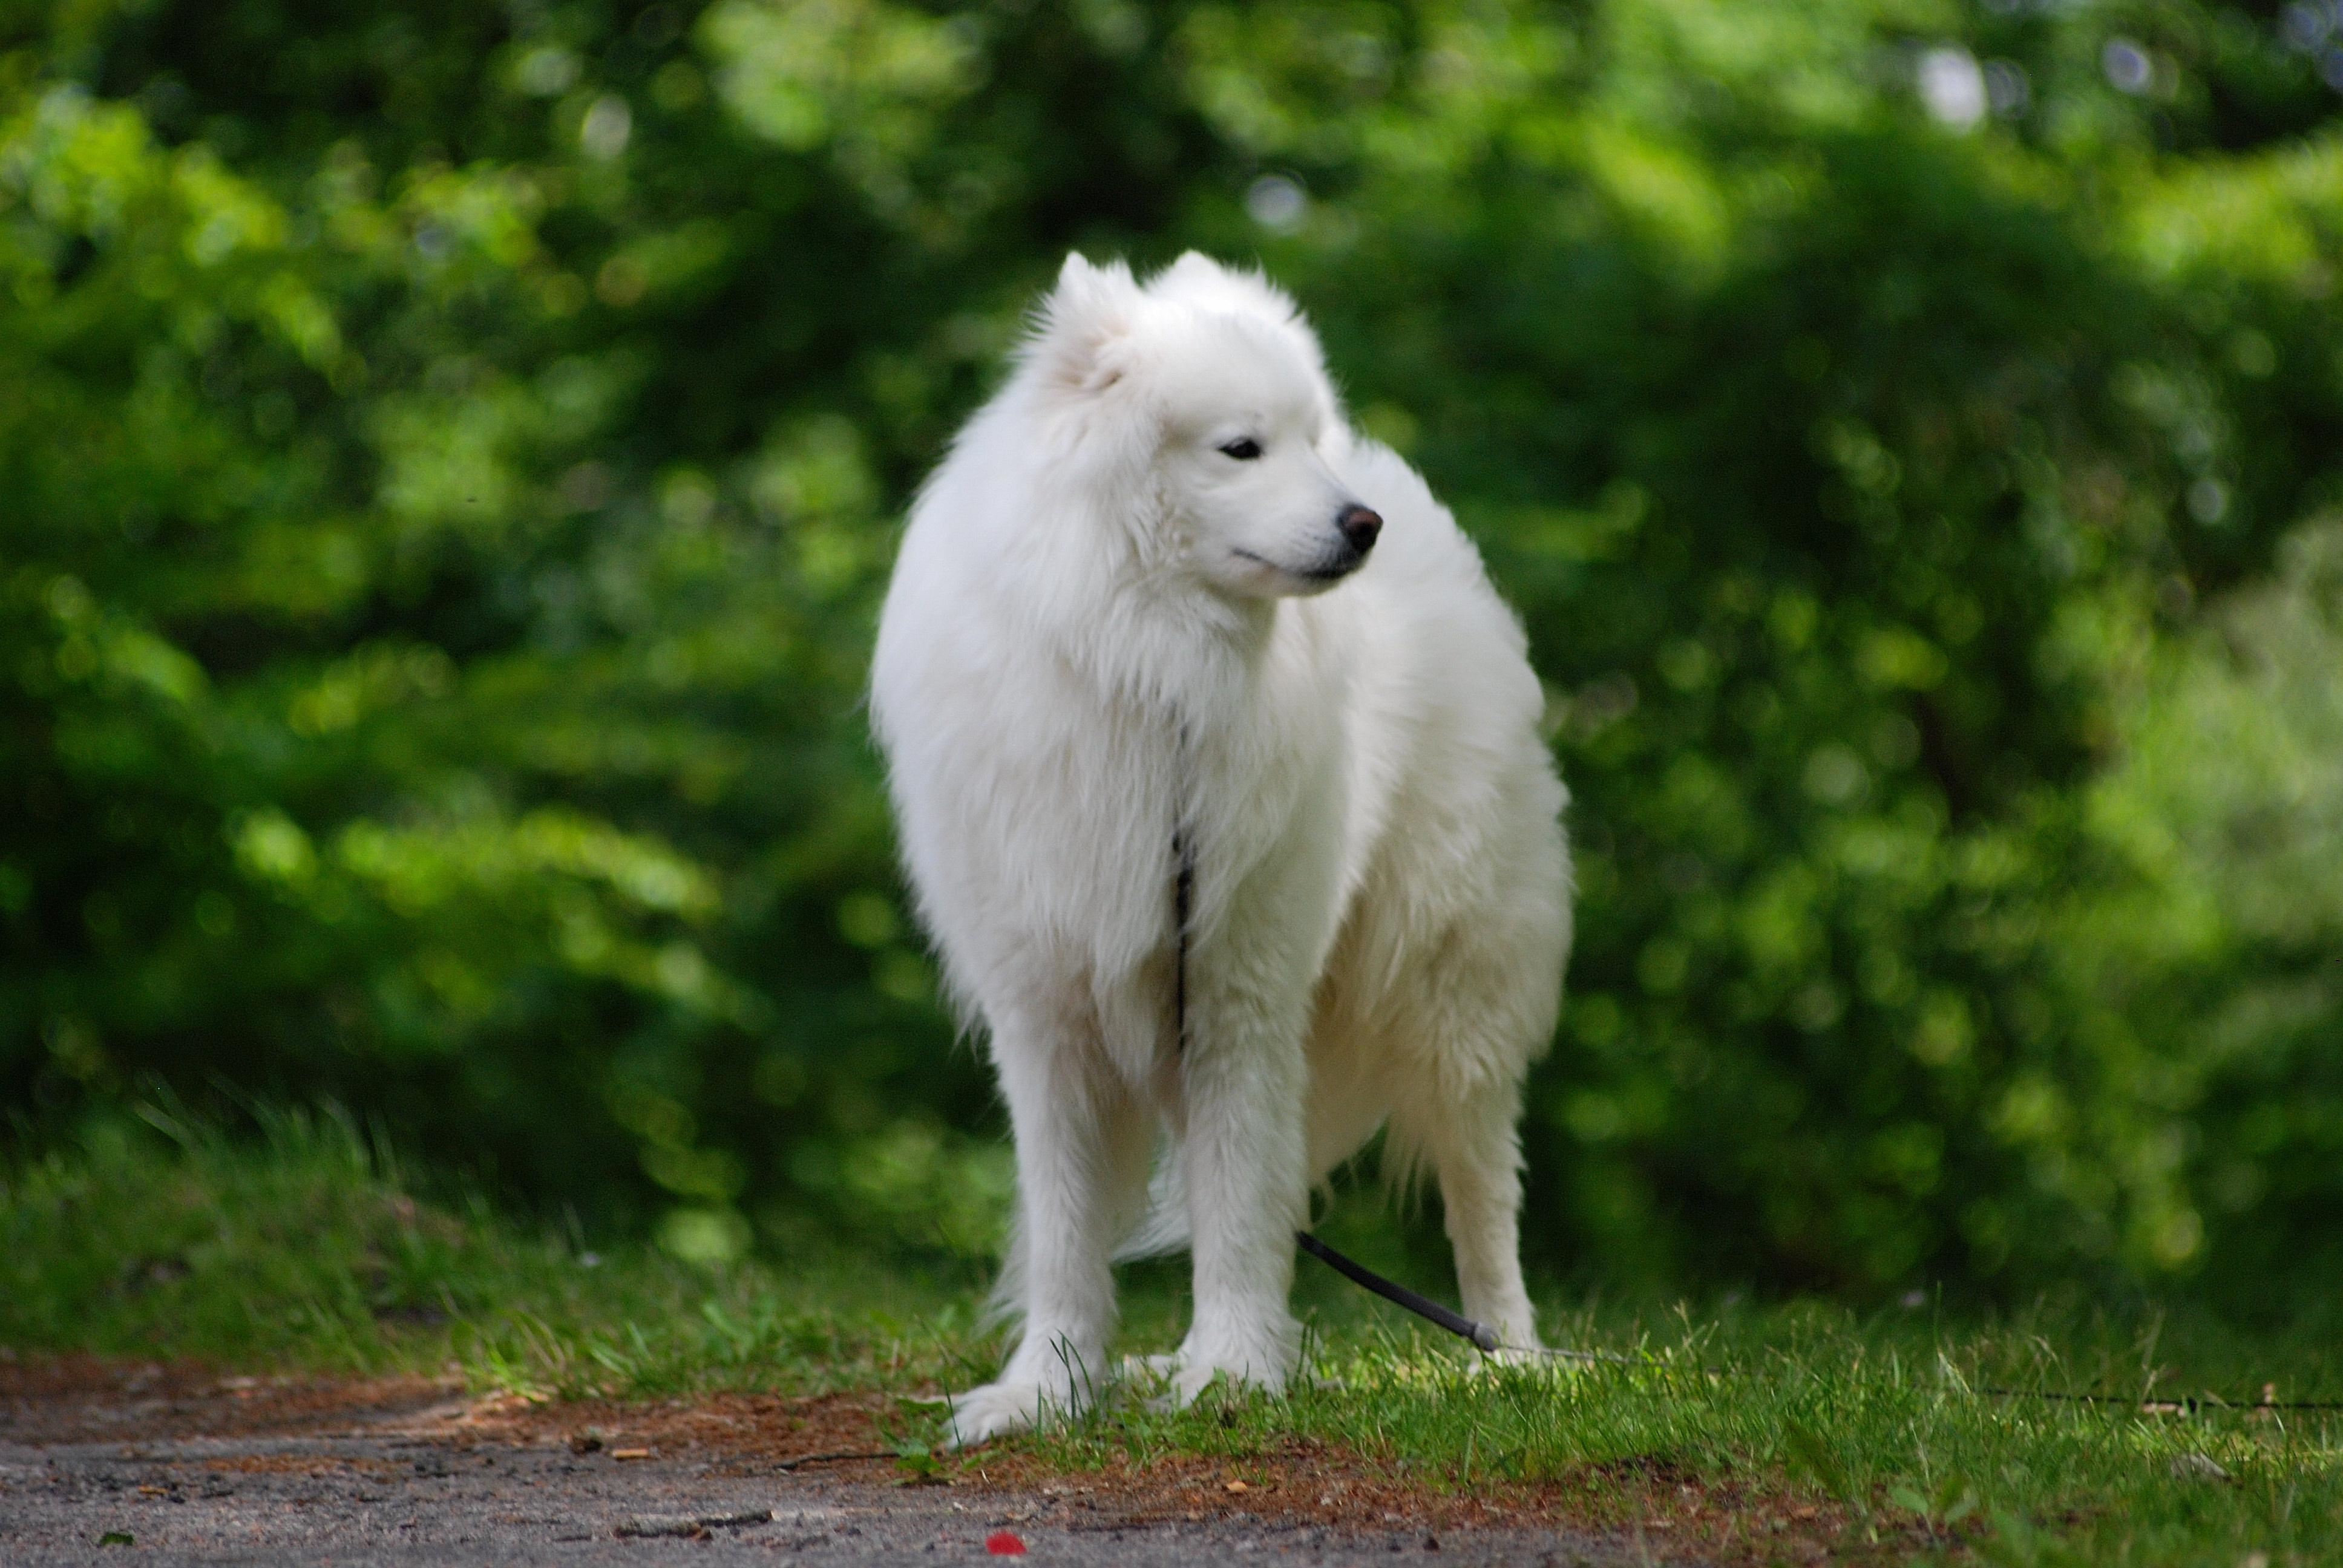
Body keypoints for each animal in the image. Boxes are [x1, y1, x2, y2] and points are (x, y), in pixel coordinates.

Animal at [876, 250, 1574, 1434]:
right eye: (1241, 448)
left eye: (1306, 440)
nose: (1361, 523)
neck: (1152, 668)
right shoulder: (1050, 1007)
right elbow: (1068, 1225)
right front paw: (1049, 1388)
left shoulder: (1240, 990)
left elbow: (1243, 1206)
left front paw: (1235, 1373)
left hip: (1449, 986)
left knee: (1482, 1188)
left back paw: (1510, 1357)